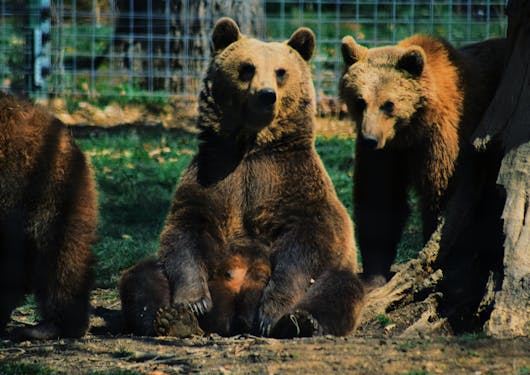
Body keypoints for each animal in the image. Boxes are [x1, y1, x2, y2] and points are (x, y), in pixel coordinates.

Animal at [338, 35, 504, 288]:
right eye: (360, 100)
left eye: (388, 103)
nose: (369, 139)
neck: (409, 131)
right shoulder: (387, 155)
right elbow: (380, 200)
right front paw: (374, 275)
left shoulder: (444, 141)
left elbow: (442, 199)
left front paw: (445, 267)